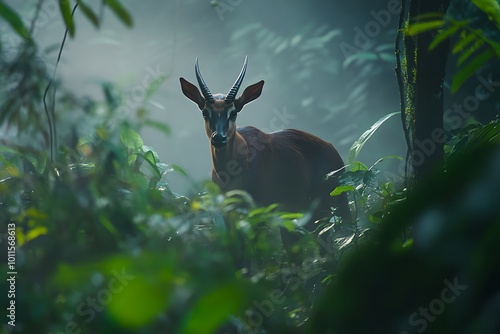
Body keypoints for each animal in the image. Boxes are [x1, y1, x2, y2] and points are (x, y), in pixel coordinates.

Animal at [181, 56, 352, 268]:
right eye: (205, 112)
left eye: (233, 112)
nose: (218, 138)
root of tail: (331, 148)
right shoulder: (229, 213)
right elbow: (238, 253)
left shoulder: (259, 210)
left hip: (325, 205)